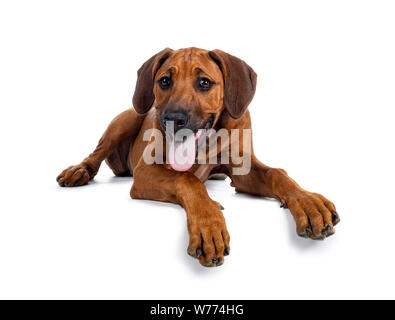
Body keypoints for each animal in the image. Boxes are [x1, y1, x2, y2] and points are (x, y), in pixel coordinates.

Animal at [57, 47, 342, 268]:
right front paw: (209, 224)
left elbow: (276, 173)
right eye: (164, 81)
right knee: (96, 153)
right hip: (129, 117)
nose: (173, 119)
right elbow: (188, 181)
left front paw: (307, 202)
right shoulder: (146, 172)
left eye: (204, 82)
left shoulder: (243, 169)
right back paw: (78, 171)